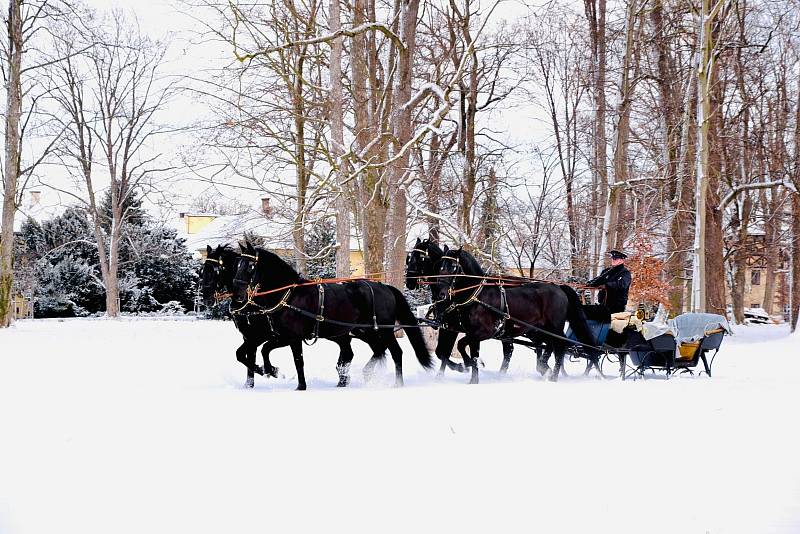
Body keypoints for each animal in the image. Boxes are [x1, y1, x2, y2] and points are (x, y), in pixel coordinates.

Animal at [200, 244, 282, 390]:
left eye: (215, 271)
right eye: (203, 270)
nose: (207, 299)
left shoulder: (259, 336)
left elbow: (246, 355)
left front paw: (266, 370)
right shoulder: (248, 337)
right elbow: (242, 355)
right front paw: (251, 381)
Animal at [231, 243, 432, 390]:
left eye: (250, 266)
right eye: (237, 265)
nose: (237, 293)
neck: (289, 295)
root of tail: (386, 287)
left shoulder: (292, 337)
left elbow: (297, 361)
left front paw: (299, 385)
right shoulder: (279, 336)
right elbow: (263, 351)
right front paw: (270, 370)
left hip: (384, 330)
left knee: (396, 352)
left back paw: (398, 384)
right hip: (364, 332)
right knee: (378, 350)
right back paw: (364, 374)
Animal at [434, 249, 596, 384]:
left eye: (453, 267)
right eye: (440, 266)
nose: (441, 294)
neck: (478, 295)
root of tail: (558, 287)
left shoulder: (484, 332)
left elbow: (461, 345)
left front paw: (466, 365)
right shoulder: (471, 333)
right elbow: (471, 352)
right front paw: (473, 377)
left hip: (554, 328)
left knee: (560, 347)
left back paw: (553, 376)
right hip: (541, 330)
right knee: (550, 346)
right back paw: (545, 368)